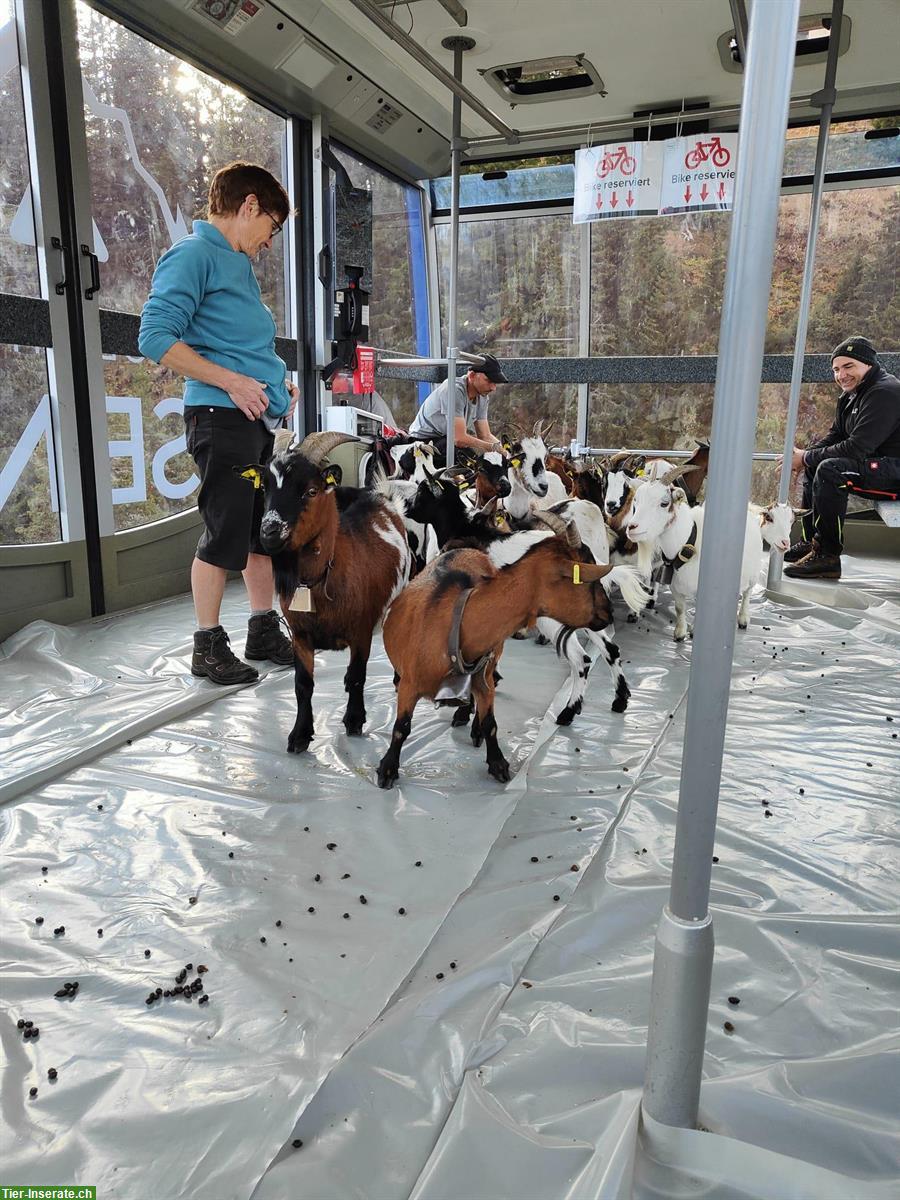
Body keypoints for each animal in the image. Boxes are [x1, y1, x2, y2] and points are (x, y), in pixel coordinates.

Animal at [376, 542, 638, 787]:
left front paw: (497, 763)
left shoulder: (484, 675)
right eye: (588, 581)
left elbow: (490, 723)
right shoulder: (409, 684)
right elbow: (401, 727)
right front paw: (387, 770)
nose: (609, 612)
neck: (455, 624)